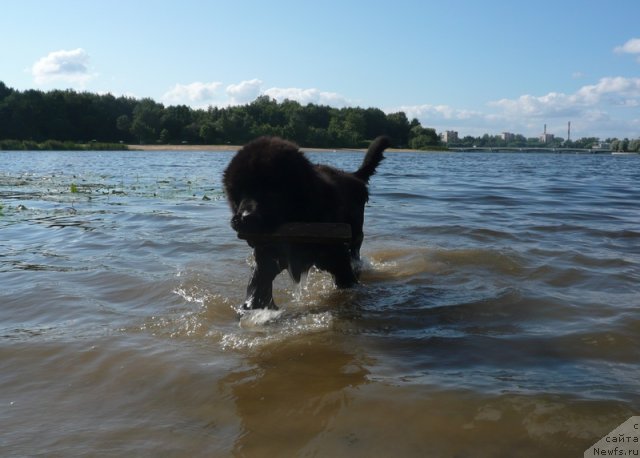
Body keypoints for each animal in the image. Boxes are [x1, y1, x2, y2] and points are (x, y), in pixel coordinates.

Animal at [222, 134, 390, 310]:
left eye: (269, 189)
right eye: (238, 193)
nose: (244, 218)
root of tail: (353, 176)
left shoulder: (337, 258)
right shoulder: (267, 256)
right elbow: (257, 286)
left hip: (356, 237)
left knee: (355, 254)